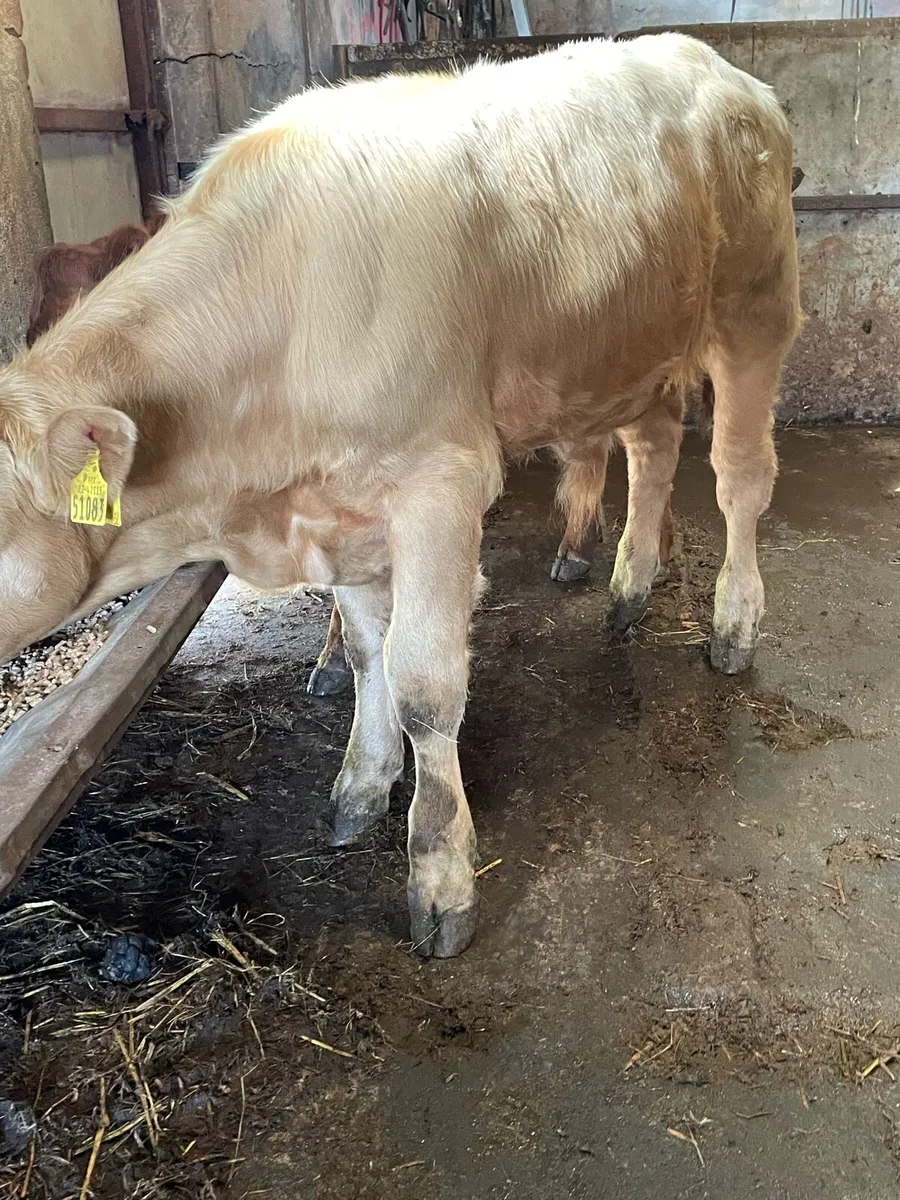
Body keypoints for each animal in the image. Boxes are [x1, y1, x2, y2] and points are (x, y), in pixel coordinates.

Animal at [0, 34, 802, 957]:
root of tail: (710, 60)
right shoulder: (335, 509)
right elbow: (363, 653)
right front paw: (363, 781)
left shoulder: (439, 482)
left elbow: (424, 683)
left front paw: (441, 874)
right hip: (629, 346)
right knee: (655, 447)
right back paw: (631, 585)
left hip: (754, 314)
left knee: (741, 479)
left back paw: (735, 621)